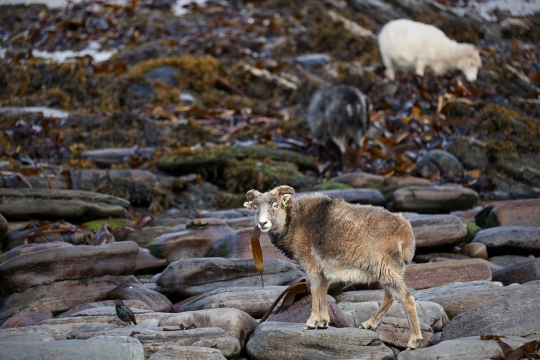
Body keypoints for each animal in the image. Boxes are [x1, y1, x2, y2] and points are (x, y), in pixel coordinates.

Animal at [244, 186, 422, 348]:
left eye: (275, 205)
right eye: (256, 208)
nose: (263, 223)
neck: (294, 221)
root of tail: (406, 231)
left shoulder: (311, 263)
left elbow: (315, 290)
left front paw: (311, 322)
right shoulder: (324, 269)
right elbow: (324, 291)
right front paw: (323, 322)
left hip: (385, 266)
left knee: (406, 298)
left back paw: (413, 341)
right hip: (390, 268)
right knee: (390, 296)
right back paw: (368, 324)